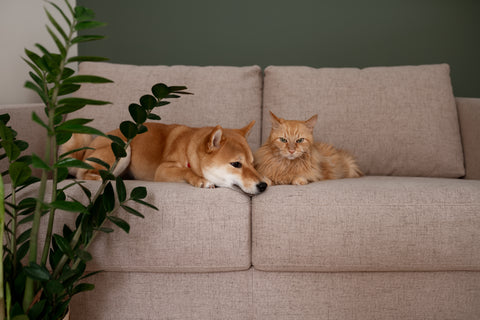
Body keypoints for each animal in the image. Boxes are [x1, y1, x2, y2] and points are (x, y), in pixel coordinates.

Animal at [60, 121, 268, 194]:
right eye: (236, 164)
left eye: (252, 164)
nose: (263, 186)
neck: (188, 151)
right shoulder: (163, 170)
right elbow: (186, 171)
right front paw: (201, 180)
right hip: (124, 151)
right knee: (83, 174)